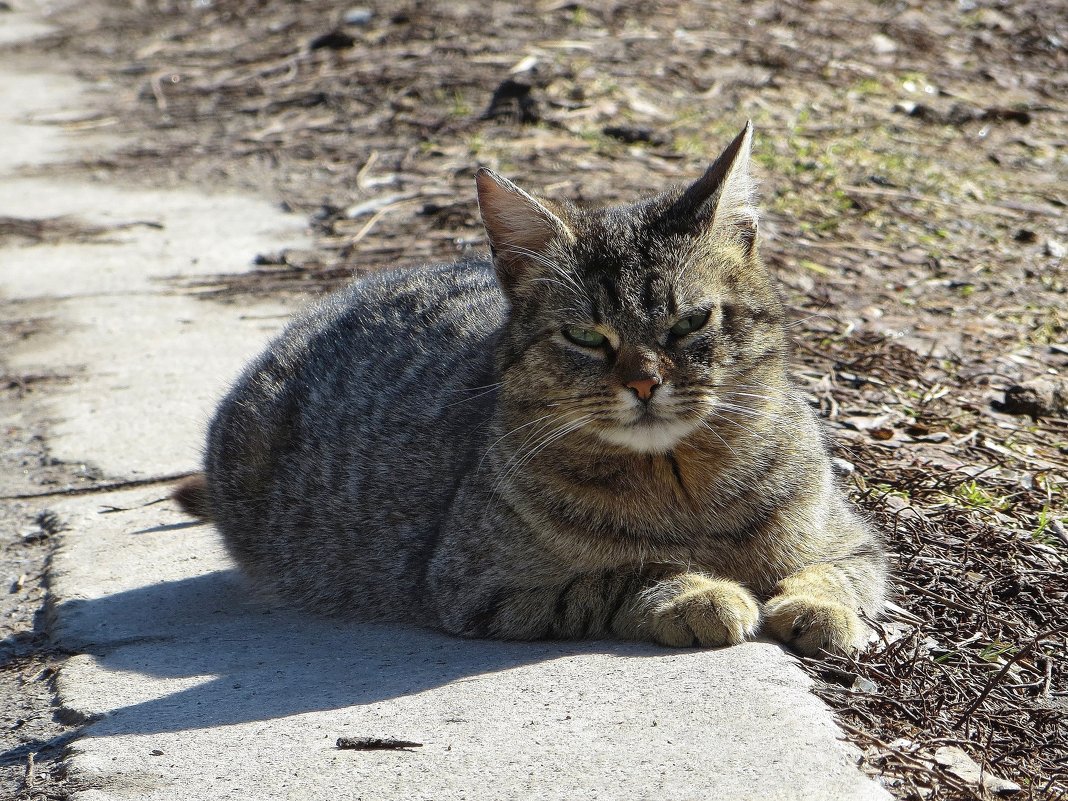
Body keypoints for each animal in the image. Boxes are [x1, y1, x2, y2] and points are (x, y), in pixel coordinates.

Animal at [175, 122, 888, 653]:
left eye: (690, 322)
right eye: (586, 337)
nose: (645, 382)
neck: (683, 486)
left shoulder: (854, 541)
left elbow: (841, 573)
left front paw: (819, 607)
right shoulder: (482, 587)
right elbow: (625, 573)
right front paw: (695, 590)